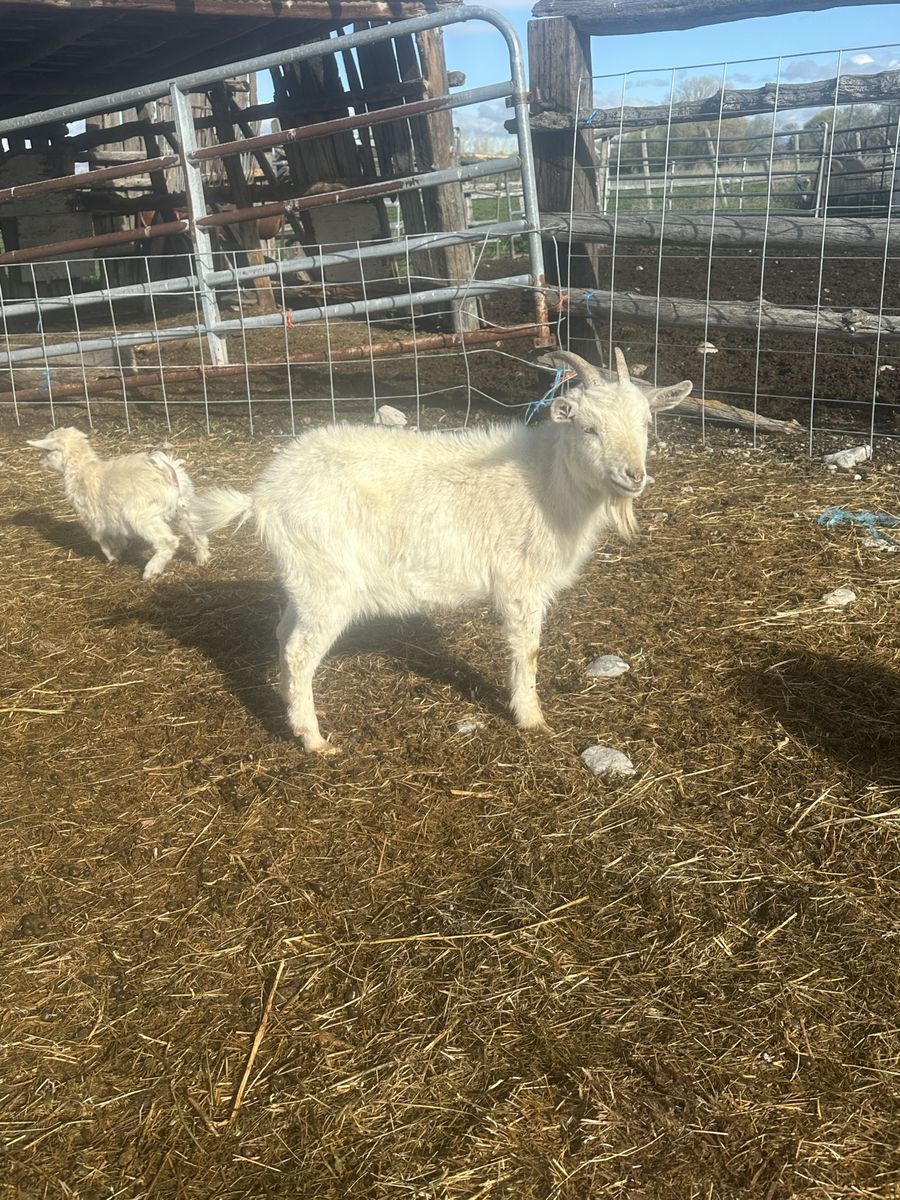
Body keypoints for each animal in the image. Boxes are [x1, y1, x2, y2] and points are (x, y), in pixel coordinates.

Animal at [27, 426, 209, 580]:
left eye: (46, 450)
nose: (39, 461)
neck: (82, 471)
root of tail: (169, 472)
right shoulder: (112, 517)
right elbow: (117, 536)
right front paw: (120, 549)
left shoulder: (92, 518)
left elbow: (101, 540)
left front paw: (112, 557)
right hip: (183, 507)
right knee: (197, 532)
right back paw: (202, 558)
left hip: (142, 515)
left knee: (168, 541)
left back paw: (151, 571)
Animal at [193, 349, 691, 753]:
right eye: (589, 428)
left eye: (647, 423)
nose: (634, 475)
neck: (546, 480)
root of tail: (263, 497)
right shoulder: (519, 582)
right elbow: (527, 649)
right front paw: (532, 718)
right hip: (328, 581)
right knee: (300, 651)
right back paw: (313, 739)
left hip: (304, 579)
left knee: (283, 636)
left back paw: (288, 706)